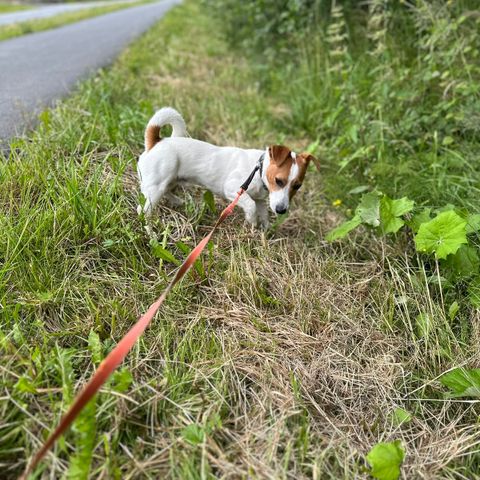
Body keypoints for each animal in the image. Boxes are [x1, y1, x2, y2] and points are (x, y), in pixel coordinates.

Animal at [138, 107, 318, 231]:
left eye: (297, 186)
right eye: (278, 180)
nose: (281, 211)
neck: (258, 171)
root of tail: (155, 142)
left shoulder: (260, 200)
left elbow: (263, 213)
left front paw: (264, 231)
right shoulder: (234, 189)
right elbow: (250, 206)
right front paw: (251, 220)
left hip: (169, 180)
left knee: (166, 191)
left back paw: (177, 201)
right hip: (156, 187)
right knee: (143, 209)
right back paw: (149, 230)